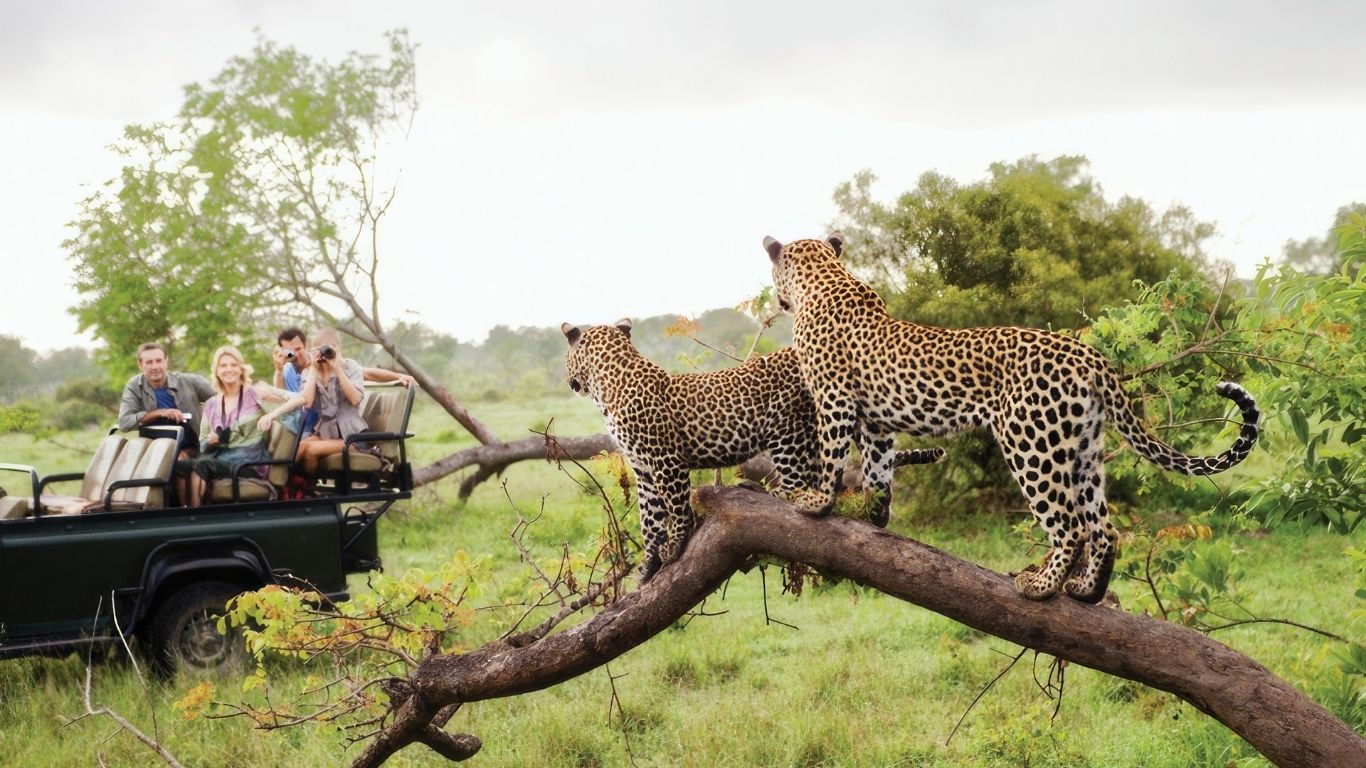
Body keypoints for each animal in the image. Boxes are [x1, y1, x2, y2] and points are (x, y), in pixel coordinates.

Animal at [561, 319, 943, 583]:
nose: (569, 382)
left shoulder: (665, 460)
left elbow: (676, 508)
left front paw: (676, 545)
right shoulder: (643, 469)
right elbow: (650, 518)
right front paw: (648, 565)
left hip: (787, 431)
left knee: (801, 484)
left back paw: (766, 491)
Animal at [762, 233, 1260, 603]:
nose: (777, 299)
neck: (825, 278)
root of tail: (1091, 356)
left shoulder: (834, 399)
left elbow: (832, 455)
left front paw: (816, 502)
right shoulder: (878, 422)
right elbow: (878, 470)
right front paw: (874, 516)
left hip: (1031, 443)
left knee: (1071, 526)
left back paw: (1041, 586)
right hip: (1082, 449)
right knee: (1103, 528)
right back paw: (1085, 590)